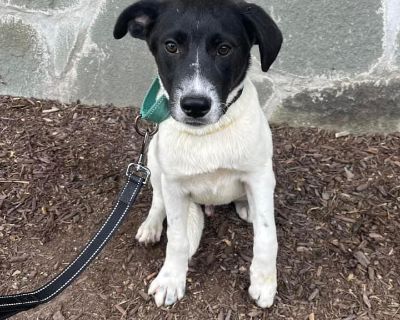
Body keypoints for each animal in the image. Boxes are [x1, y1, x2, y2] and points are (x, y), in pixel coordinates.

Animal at [114, 0, 282, 310]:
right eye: (171, 46)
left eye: (224, 48)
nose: (194, 105)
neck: (208, 134)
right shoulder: (174, 185)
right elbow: (177, 238)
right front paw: (171, 279)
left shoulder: (261, 176)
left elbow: (267, 236)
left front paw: (264, 282)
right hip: (153, 160)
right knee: (157, 200)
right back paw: (151, 226)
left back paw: (245, 205)